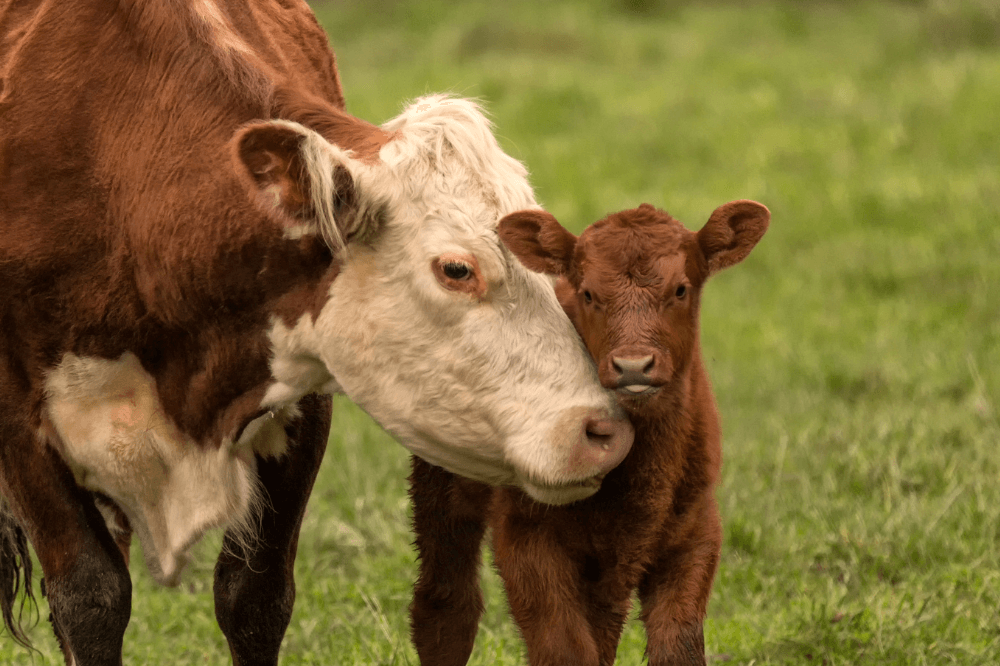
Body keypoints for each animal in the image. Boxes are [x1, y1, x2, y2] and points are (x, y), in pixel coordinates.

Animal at [0, 1, 632, 664]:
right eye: (457, 269)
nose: (604, 430)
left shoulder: (298, 398)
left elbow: (253, 598)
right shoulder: (19, 424)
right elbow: (91, 598)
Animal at [410, 198, 768, 664]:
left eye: (680, 290)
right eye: (589, 294)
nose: (633, 365)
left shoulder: (695, 533)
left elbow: (678, 645)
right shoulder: (526, 533)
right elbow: (565, 647)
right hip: (443, 481)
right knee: (446, 605)